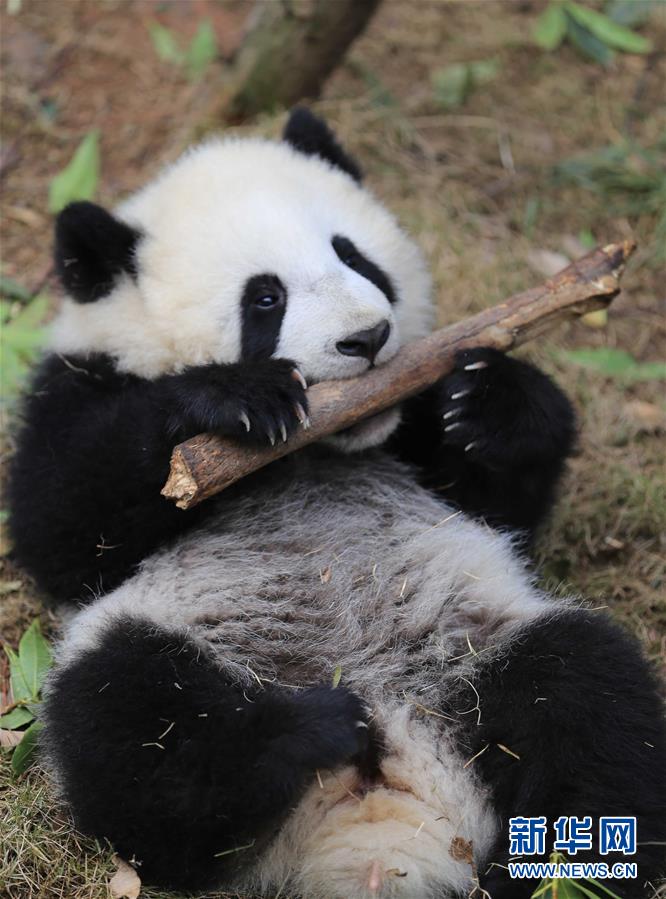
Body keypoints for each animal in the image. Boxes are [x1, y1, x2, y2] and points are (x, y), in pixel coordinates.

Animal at [8, 109, 665, 898]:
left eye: (354, 255)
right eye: (264, 298)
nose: (369, 337)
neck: (326, 448)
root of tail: (374, 824)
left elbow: (501, 507)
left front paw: (487, 400)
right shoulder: (76, 383)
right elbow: (61, 525)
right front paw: (231, 398)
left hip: (476, 651)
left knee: (584, 695)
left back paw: (550, 873)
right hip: (175, 646)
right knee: (131, 725)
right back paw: (301, 732)